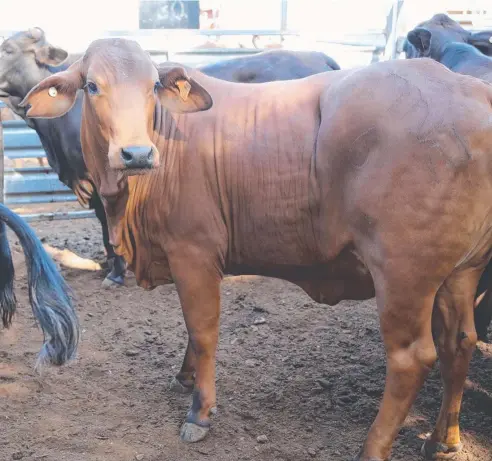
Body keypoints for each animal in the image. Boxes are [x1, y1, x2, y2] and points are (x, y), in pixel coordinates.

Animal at [22, 37, 492, 458]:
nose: (136, 153)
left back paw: (372, 449)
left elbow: (203, 330)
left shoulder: (194, 252)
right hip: (461, 271)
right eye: (92, 86)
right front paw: (185, 378)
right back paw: (443, 439)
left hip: (403, 275)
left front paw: (200, 412)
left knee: (412, 358)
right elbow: (190, 330)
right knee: (460, 342)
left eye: (152, 86)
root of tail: (468, 89)